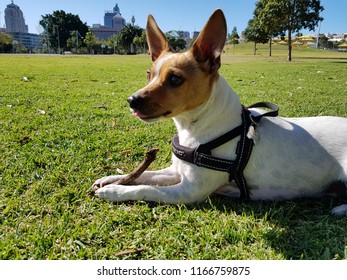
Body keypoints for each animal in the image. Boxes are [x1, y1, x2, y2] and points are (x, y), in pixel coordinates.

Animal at [92, 8, 347, 214]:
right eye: (149, 74)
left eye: (175, 79)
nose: (132, 100)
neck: (196, 127)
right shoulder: (177, 172)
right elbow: (146, 174)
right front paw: (111, 179)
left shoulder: (189, 190)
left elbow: (146, 188)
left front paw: (114, 192)